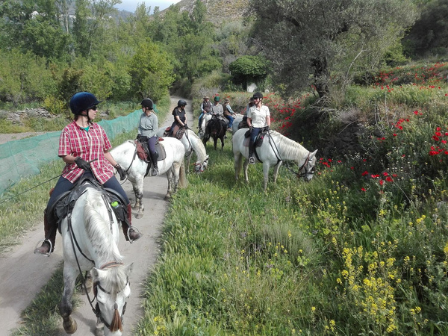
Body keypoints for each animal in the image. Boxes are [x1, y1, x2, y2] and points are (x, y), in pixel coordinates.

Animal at [58, 185, 131, 336]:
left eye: (127, 297)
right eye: (101, 301)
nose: (114, 333)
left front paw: (99, 325)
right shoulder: (70, 267)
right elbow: (65, 304)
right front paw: (69, 326)